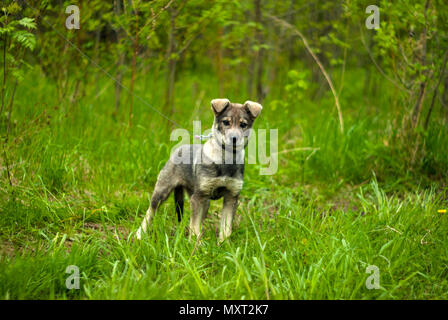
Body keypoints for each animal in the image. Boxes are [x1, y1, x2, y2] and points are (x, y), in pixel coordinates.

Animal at [136, 98, 262, 242]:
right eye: (226, 122)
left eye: (243, 124)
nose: (234, 139)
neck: (226, 160)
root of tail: (178, 149)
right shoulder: (198, 197)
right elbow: (194, 225)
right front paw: (195, 244)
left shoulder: (231, 197)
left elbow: (225, 227)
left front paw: (223, 244)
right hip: (163, 191)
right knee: (150, 211)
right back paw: (140, 234)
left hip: (203, 201)